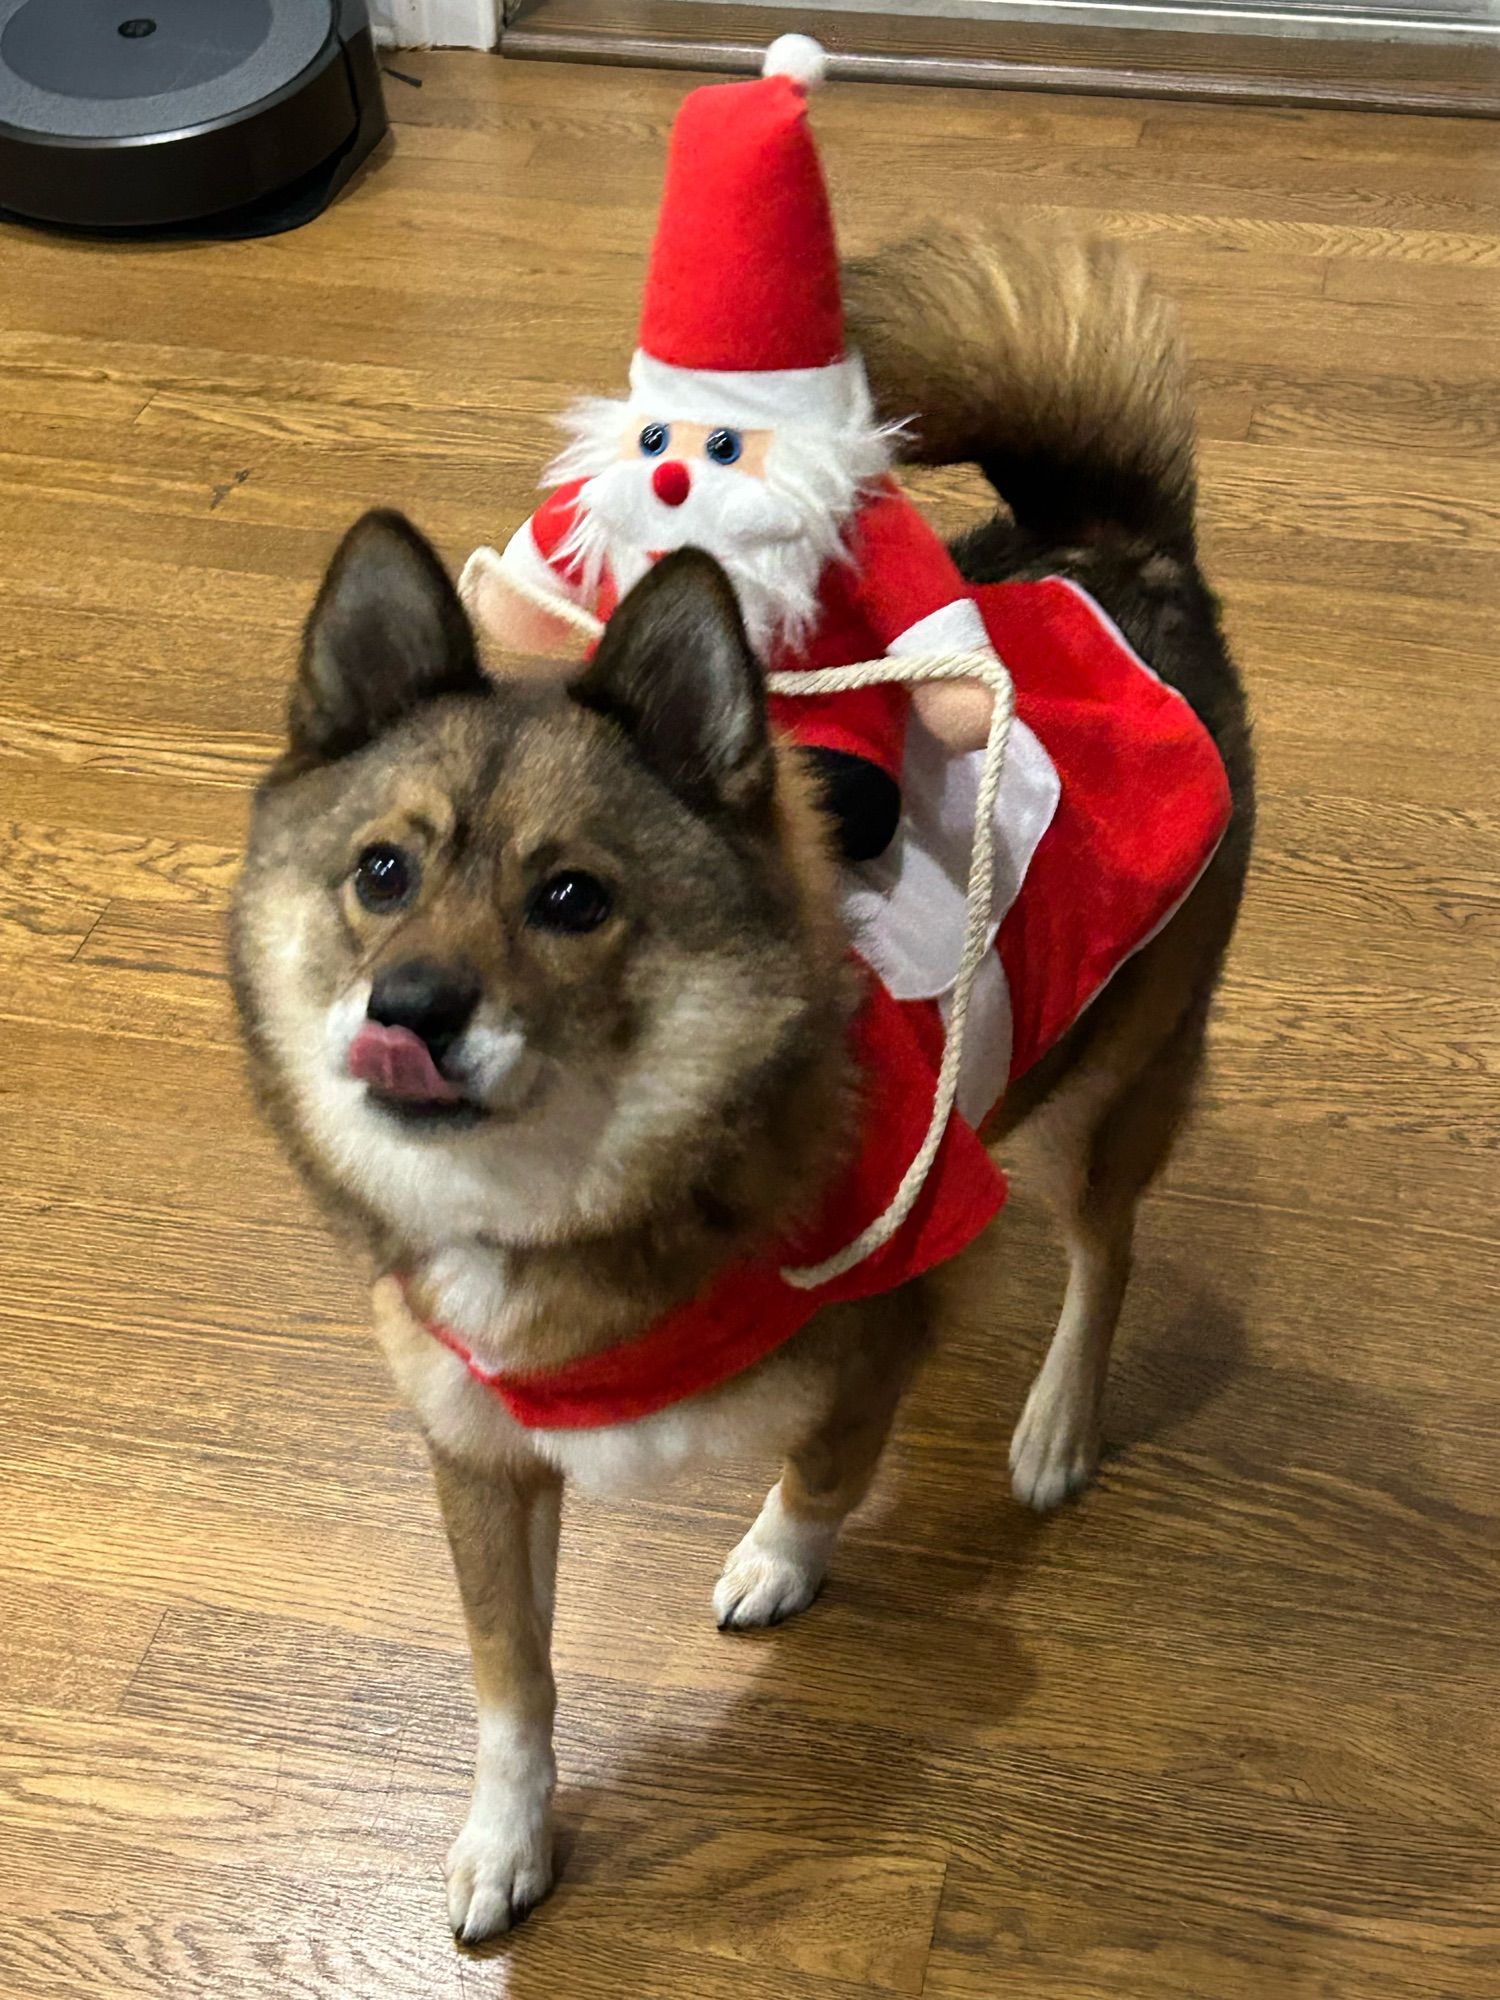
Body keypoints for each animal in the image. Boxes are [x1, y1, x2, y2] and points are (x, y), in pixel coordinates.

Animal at [226, 219, 1256, 1936]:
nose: (408, 1008)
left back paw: (1054, 1425)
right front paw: (506, 1836)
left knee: (1104, 1254)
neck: (580, 1195)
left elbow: (824, 1469)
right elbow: (509, 1678)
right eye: (382, 872)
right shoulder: (475, 1457)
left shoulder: (886, 1319)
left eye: (573, 898)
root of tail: (1129, 555)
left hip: (1087, 1095)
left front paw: (781, 1557)